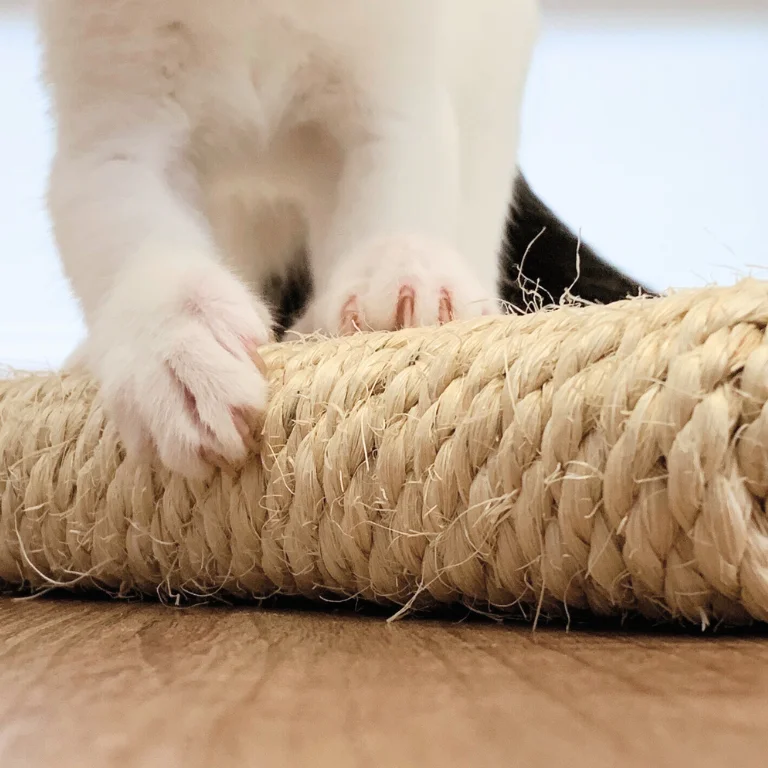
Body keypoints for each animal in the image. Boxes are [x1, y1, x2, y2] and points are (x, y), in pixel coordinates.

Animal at [37, 1, 648, 480]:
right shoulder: (115, 131)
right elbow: (139, 244)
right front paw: (178, 350)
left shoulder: (394, 92)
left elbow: (398, 175)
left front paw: (398, 281)